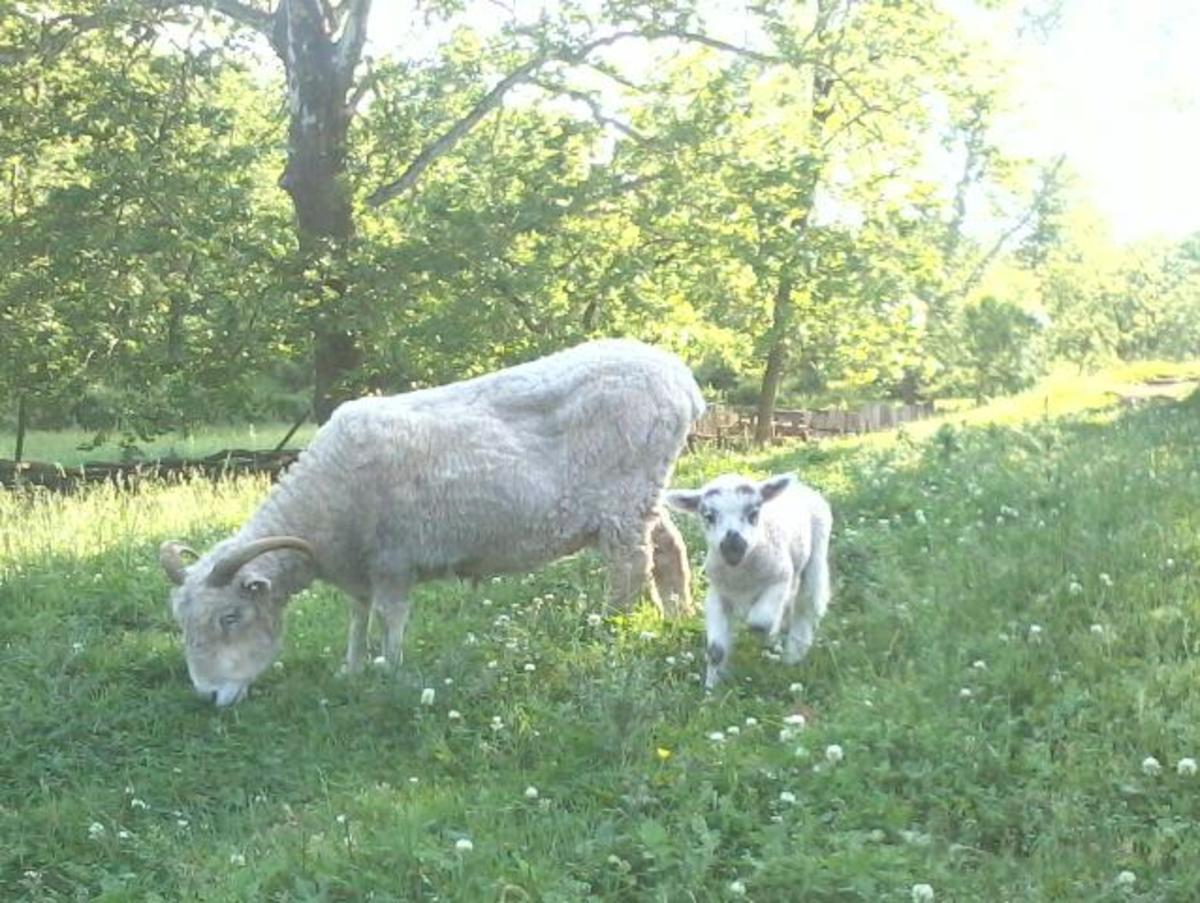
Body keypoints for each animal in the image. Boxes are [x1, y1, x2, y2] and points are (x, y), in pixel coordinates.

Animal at [158, 339, 704, 706]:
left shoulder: (393, 559)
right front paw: (352, 668)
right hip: (645, 496)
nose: (206, 697)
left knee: (631, 568)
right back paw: (678, 616)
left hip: (623, 501)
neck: (322, 506)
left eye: (231, 617)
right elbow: (357, 616)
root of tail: (680, 377)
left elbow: (389, 616)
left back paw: (613, 628)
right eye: (182, 624)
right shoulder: (359, 567)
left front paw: (391, 670)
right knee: (670, 550)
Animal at [665, 472, 832, 690]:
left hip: (816, 554)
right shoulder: (717, 594)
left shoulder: (780, 580)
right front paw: (711, 687)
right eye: (708, 516)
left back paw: (793, 654)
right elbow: (716, 650)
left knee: (807, 605)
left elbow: (759, 623)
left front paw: (769, 633)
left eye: (754, 513)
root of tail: (801, 487)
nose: (733, 545)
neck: (742, 577)